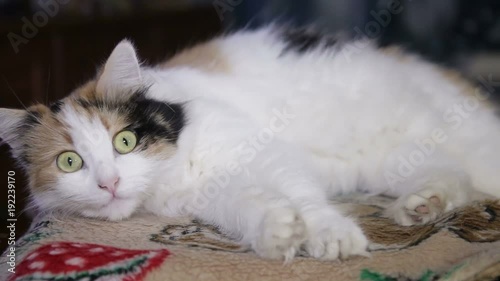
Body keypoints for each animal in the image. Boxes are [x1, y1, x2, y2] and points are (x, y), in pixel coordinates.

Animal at [0, 26, 500, 260]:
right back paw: (422, 207)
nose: (109, 183)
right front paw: (278, 232)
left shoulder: (261, 152)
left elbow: (304, 197)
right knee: (452, 176)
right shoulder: (216, 195)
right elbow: (254, 208)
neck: (172, 173)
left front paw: (329, 236)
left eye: (124, 141)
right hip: (393, 158)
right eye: (70, 162)